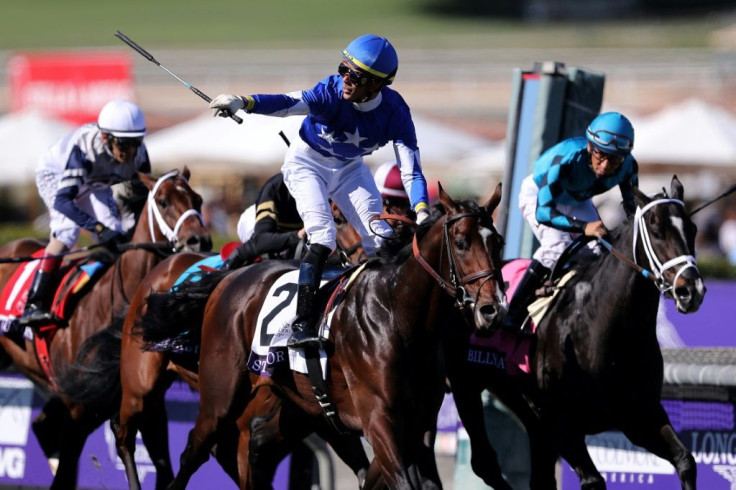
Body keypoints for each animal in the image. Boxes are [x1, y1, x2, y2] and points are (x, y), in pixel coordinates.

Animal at [0, 169, 210, 490]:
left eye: (197, 199)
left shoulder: (147, 403)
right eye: (163, 201)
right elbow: (65, 475)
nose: (199, 240)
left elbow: (164, 466)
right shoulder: (78, 407)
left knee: (41, 424)